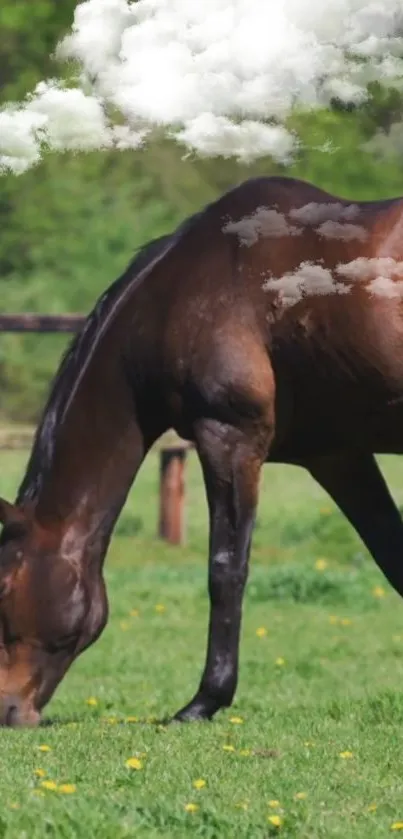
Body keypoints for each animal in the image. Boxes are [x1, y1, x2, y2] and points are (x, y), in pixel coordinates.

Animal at [0, 174, 403, 724]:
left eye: (2, 589)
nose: (6, 709)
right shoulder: (337, 455)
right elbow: (394, 554)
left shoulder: (228, 437)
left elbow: (225, 570)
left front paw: (204, 701)